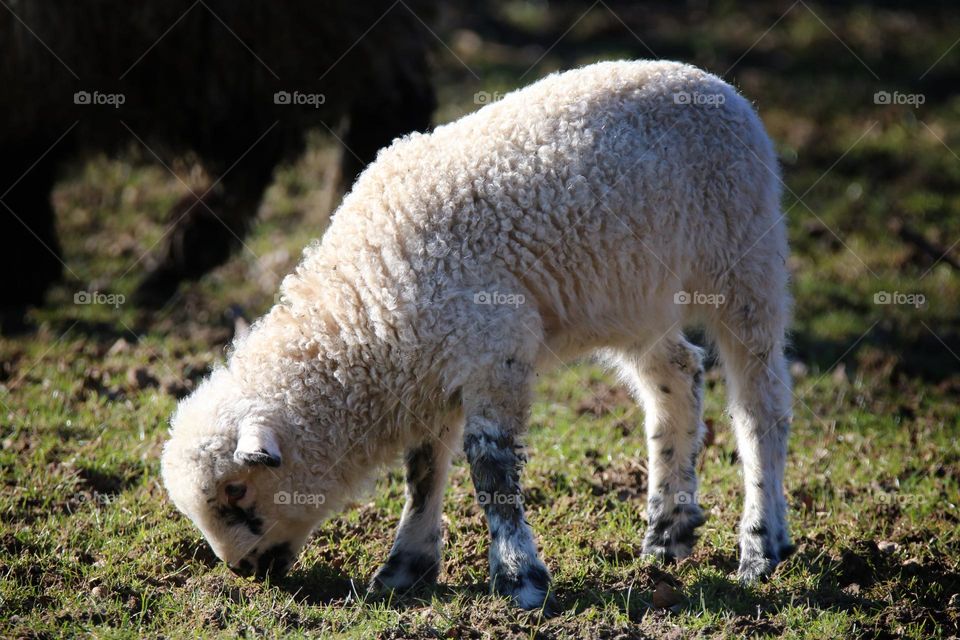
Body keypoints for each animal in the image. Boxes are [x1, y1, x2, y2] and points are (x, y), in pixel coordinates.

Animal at [161, 59, 794, 611]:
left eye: (237, 492)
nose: (243, 570)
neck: (364, 312)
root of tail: (712, 83)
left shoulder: (493, 350)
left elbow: (490, 468)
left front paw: (520, 580)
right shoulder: (432, 366)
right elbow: (422, 469)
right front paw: (405, 569)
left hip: (745, 259)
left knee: (760, 404)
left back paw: (761, 545)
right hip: (636, 296)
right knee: (678, 378)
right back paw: (668, 531)